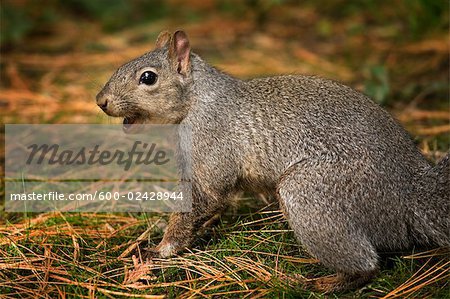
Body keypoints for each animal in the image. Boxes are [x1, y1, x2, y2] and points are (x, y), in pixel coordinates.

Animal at [96, 30, 448, 292]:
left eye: (148, 78)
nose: (101, 101)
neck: (198, 99)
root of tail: (410, 193)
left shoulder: (212, 143)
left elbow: (206, 197)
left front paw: (161, 249)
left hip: (310, 193)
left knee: (367, 264)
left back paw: (327, 283)